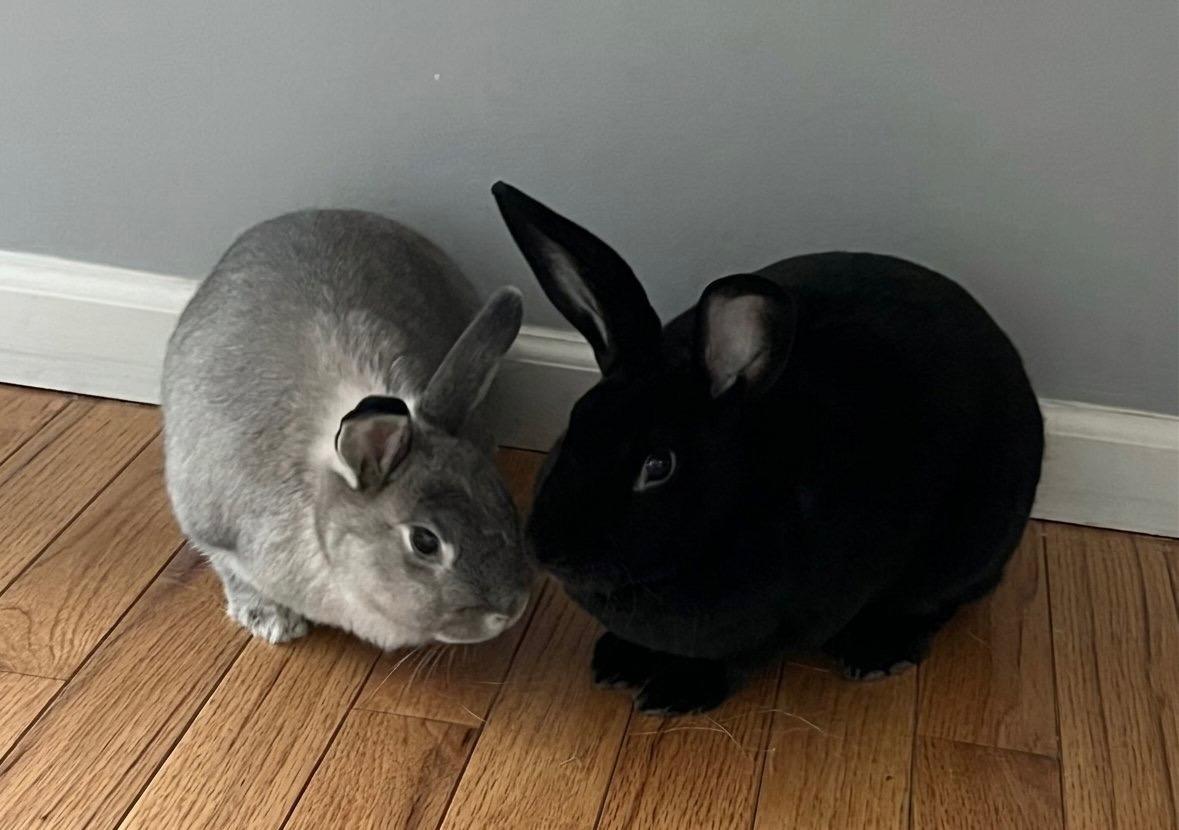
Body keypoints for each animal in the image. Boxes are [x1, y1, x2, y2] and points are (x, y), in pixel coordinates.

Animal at [162, 209, 535, 650]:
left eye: (501, 497)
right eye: (425, 542)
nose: (512, 610)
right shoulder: (211, 527)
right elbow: (230, 569)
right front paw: (272, 622)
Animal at [491, 181, 1043, 714]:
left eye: (658, 465)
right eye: (573, 422)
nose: (546, 548)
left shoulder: (779, 626)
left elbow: (734, 661)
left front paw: (677, 692)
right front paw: (619, 663)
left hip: (971, 540)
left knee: (938, 602)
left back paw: (877, 654)